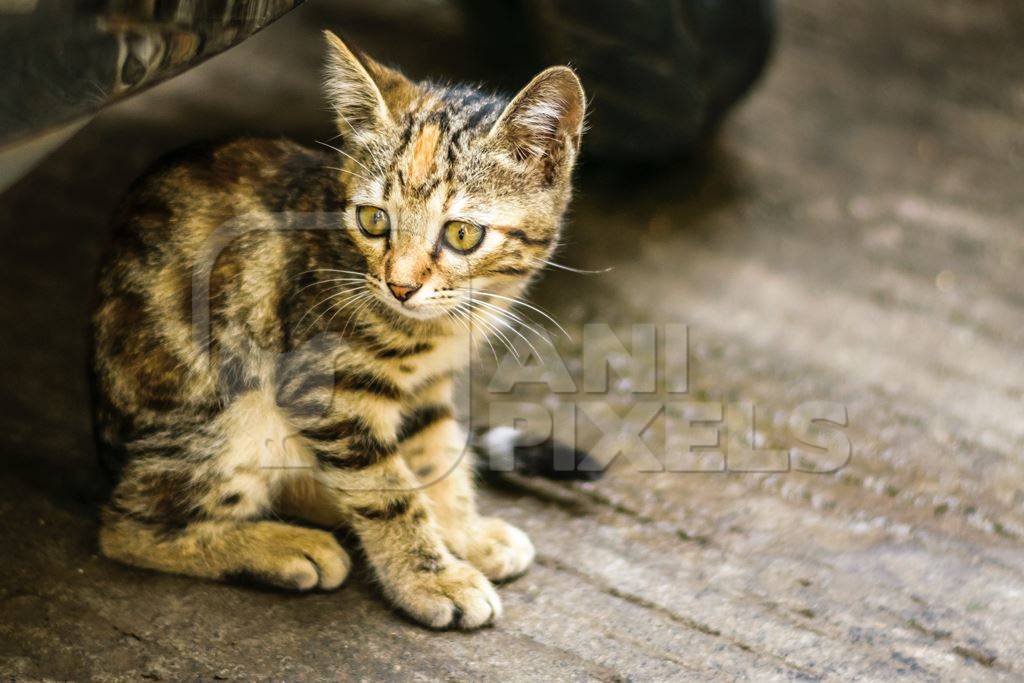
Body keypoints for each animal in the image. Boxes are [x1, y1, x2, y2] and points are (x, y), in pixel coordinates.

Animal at [92, 33, 589, 630]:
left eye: (462, 234)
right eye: (375, 220)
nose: (400, 286)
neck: (442, 327)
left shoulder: (427, 385)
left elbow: (435, 455)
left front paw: (464, 534)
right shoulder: (326, 388)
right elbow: (388, 488)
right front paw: (431, 578)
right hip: (232, 407)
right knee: (125, 526)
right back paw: (283, 548)